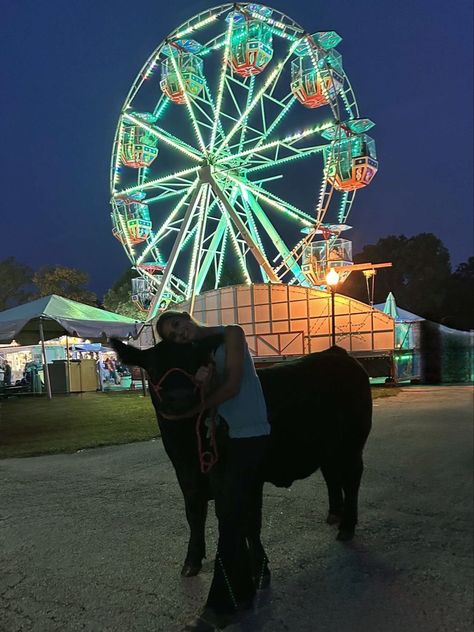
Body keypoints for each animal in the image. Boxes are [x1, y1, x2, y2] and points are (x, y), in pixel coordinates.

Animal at [110, 338, 370, 576]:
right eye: (153, 369)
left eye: (197, 364)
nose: (180, 396)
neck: (188, 444)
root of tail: (335, 353)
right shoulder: (186, 476)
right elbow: (194, 516)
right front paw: (192, 560)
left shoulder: (248, 477)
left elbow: (249, 520)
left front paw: (258, 565)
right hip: (328, 447)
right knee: (331, 475)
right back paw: (335, 514)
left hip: (352, 444)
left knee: (352, 479)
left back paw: (347, 526)